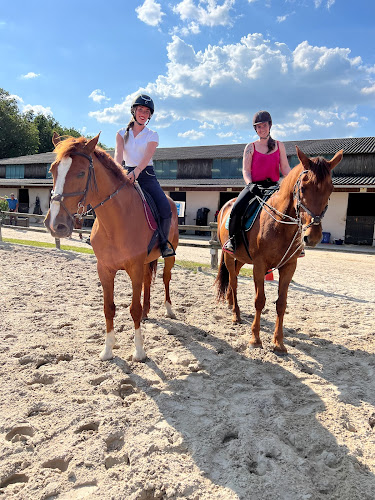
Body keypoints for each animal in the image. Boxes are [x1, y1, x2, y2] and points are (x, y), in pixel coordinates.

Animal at [44, 131, 180, 362]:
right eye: (53, 170)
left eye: (81, 173)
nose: (56, 225)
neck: (116, 221)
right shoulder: (105, 269)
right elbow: (108, 308)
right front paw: (107, 350)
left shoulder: (134, 268)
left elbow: (133, 309)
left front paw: (139, 352)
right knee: (147, 281)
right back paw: (147, 312)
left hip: (168, 257)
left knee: (165, 279)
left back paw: (168, 309)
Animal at [214, 146, 344, 354]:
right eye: (303, 188)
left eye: (330, 189)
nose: (313, 236)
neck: (280, 224)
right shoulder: (260, 265)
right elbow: (260, 300)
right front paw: (255, 339)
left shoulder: (289, 266)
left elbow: (281, 304)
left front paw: (278, 342)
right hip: (228, 255)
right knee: (233, 282)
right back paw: (236, 314)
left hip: (241, 258)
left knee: (235, 277)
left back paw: (230, 302)